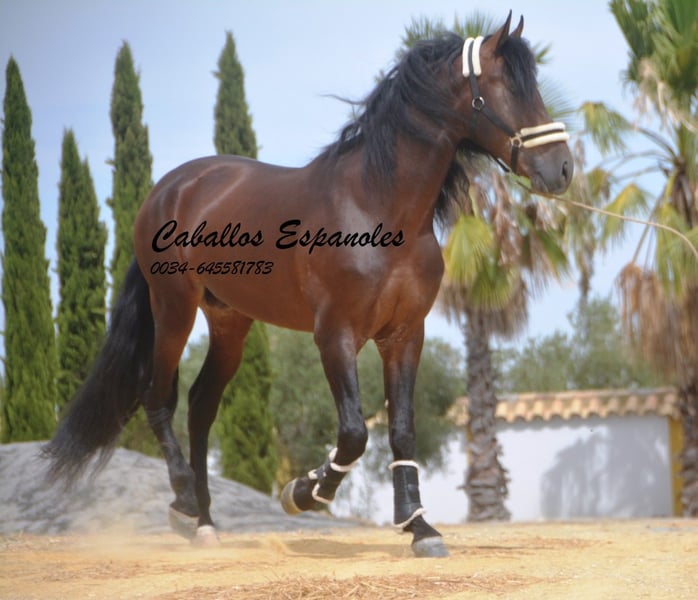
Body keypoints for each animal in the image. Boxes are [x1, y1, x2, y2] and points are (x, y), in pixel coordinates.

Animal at [44, 13, 572, 558]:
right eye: (508, 86)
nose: (562, 168)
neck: (377, 208)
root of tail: (169, 189)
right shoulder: (334, 335)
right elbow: (355, 432)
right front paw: (303, 492)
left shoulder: (405, 334)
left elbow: (402, 430)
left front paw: (420, 527)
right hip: (174, 308)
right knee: (158, 397)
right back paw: (185, 503)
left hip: (229, 321)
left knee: (200, 406)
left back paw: (207, 524)